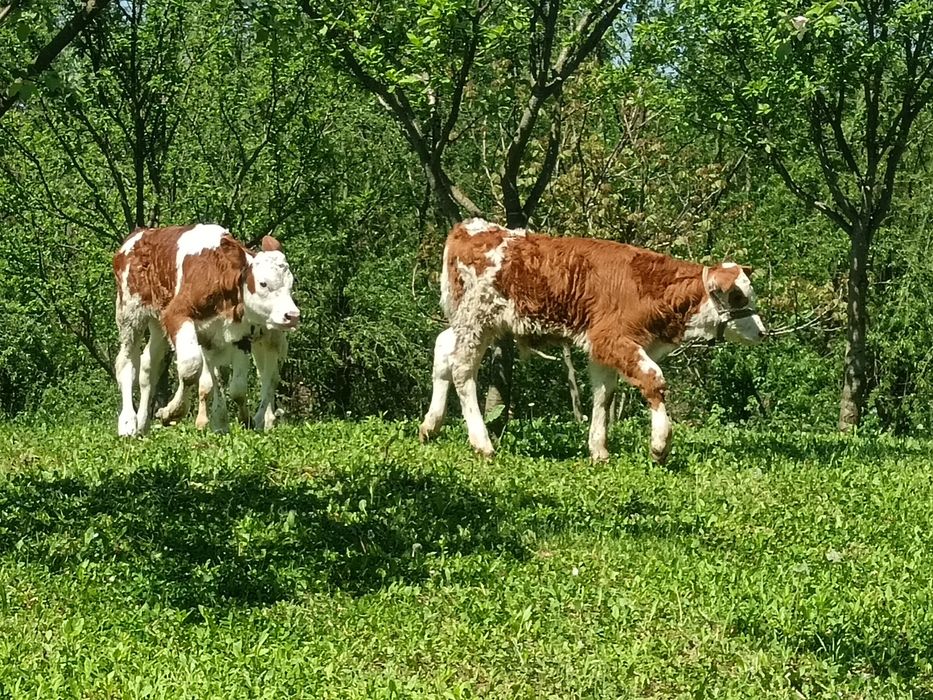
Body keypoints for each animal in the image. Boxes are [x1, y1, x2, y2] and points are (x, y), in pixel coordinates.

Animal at [113, 224, 300, 437]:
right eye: (263, 283)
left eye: (291, 284)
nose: (292, 315)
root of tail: (141, 232)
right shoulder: (176, 314)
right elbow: (191, 368)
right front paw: (173, 412)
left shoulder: (238, 335)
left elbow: (236, 387)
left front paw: (241, 421)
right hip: (130, 314)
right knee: (127, 364)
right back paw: (128, 423)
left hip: (158, 324)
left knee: (148, 366)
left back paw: (142, 424)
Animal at [418, 218, 766, 463]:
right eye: (737, 296)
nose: (763, 332)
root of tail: (470, 227)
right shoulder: (612, 339)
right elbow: (653, 380)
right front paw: (660, 445)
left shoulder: (602, 348)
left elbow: (604, 395)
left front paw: (599, 450)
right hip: (475, 320)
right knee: (462, 370)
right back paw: (482, 443)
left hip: (468, 322)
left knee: (443, 349)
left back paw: (430, 426)